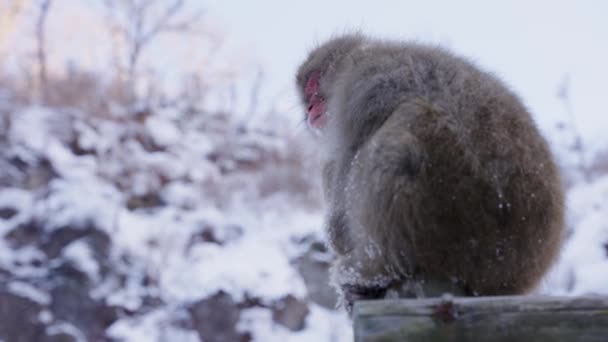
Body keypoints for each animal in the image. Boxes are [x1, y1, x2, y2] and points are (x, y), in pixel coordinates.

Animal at [294, 33, 564, 312]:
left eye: (312, 86)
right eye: (306, 97)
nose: (309, 109)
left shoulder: (367, 83)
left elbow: (352, 151)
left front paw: (336, 235)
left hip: (451, 214)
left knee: (406, 125)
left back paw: (373, 269)